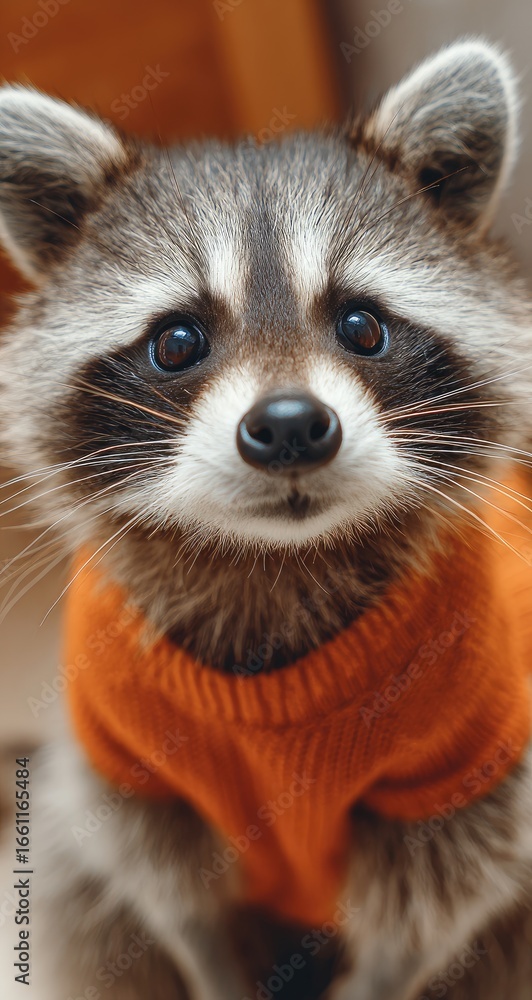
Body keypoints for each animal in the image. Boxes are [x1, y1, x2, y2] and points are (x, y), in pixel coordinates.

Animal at [0, 37, 532, 1000]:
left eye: (362, 326)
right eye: (177, 342)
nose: (289, 428)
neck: (273, 557)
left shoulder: (468, 755)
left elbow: (429, 912)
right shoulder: (128, 766)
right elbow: (174, 901)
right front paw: (213, 971)